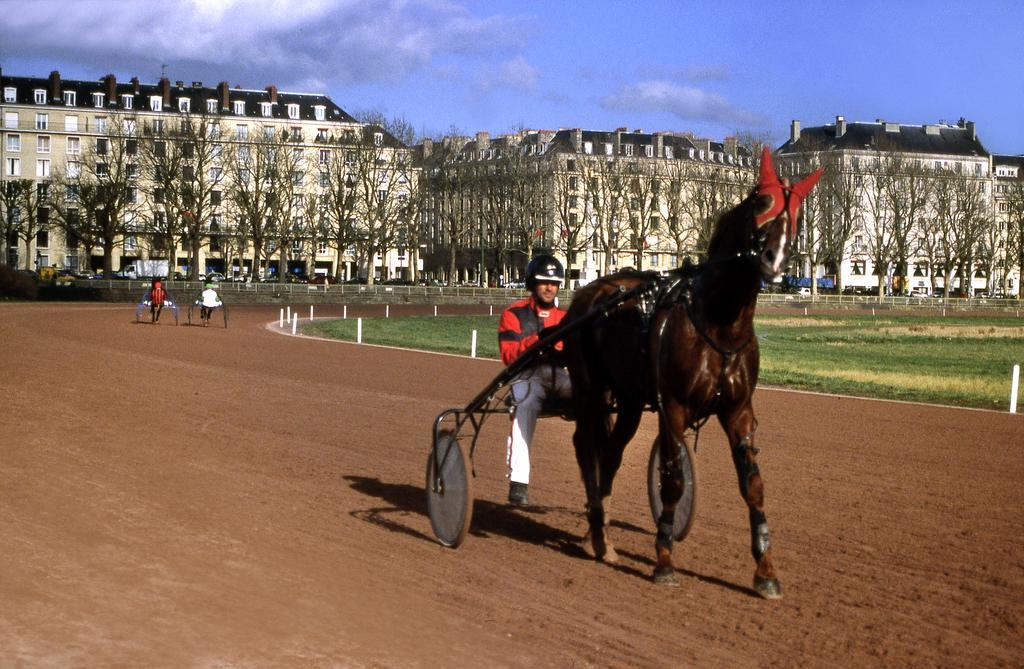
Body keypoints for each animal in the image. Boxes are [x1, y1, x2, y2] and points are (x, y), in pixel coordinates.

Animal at [565, 148, 819, 598]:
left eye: (798, 212)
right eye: (761, 202)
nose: (773, 261)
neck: (720, 323)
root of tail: (593, 291)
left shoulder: (738, 411)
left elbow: (753, 486)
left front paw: (766, 570)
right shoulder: (674, 408)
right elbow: (673, 481)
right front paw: (665, 558)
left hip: (629, 401)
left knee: (609, 453)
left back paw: (600, 534)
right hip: (591, 390)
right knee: (586, 445)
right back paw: (596, 524)